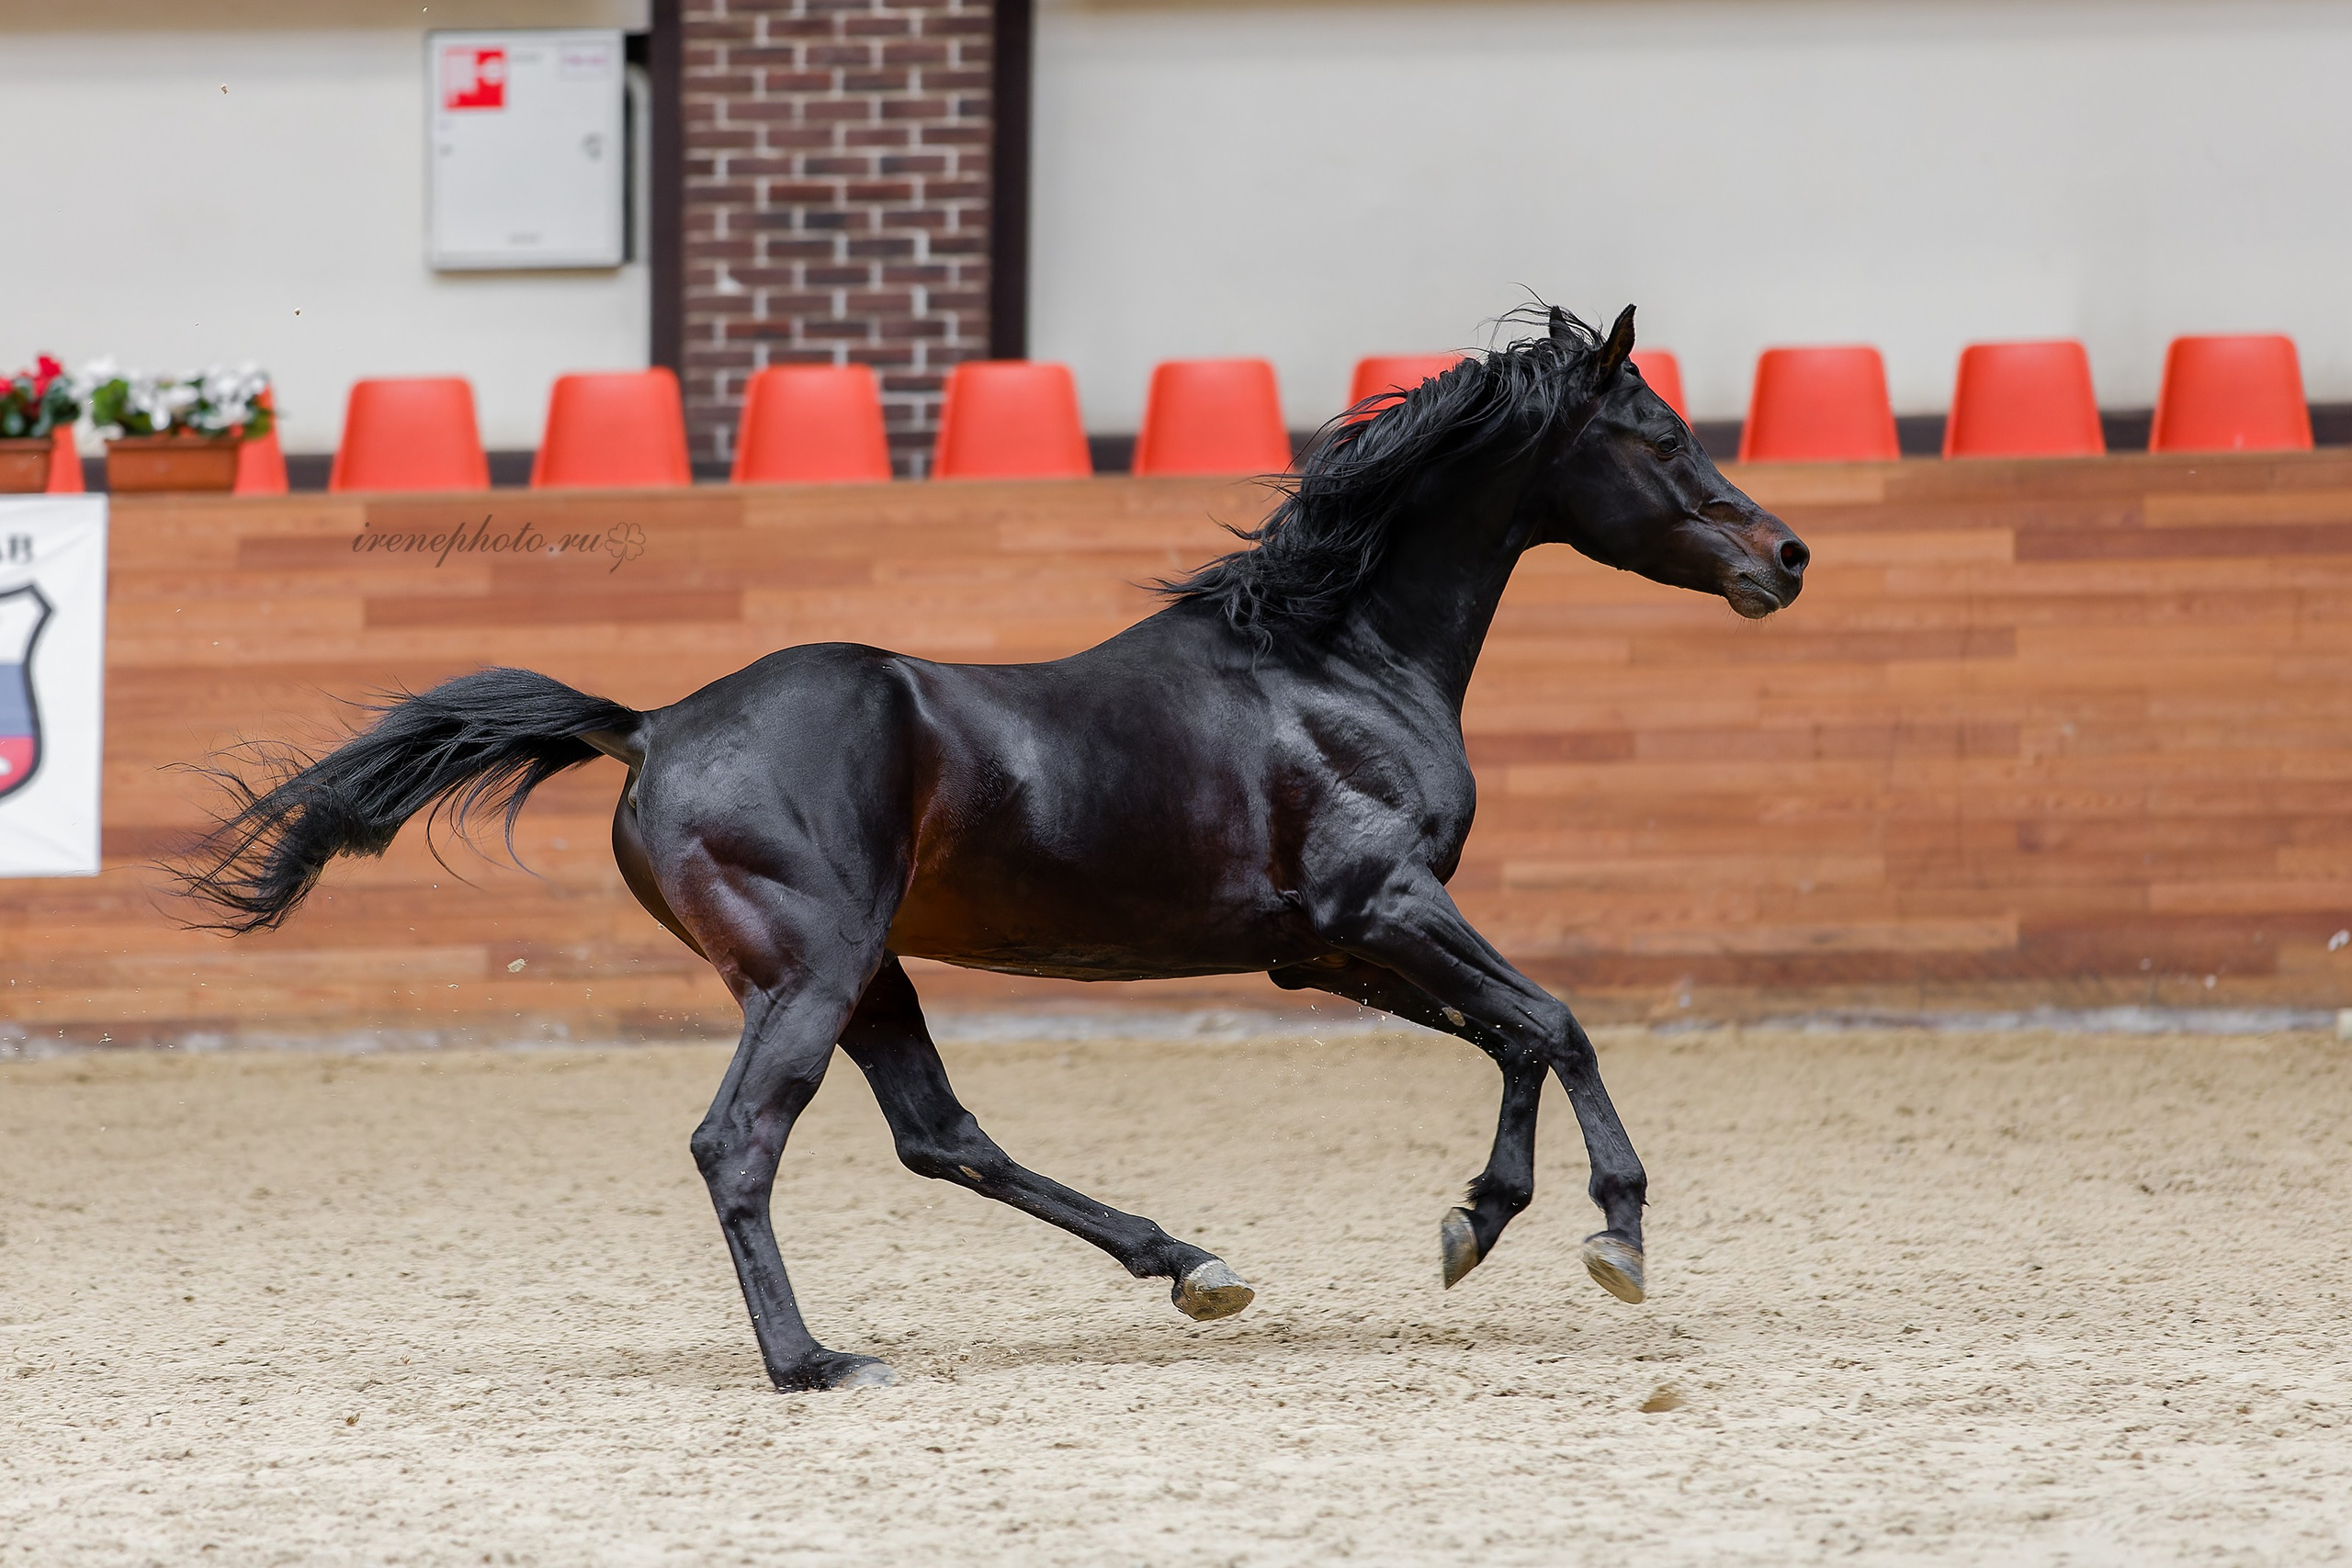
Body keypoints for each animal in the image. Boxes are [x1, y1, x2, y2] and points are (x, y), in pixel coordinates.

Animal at [177, 305, 1808, 1392]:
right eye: (1661, 436)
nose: (1785, 556)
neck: (1334, 656)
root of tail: (651, 725)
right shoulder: (1384, 905)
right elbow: (1558, 1018)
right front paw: (1614, 1237)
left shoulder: (1327, 946)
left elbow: (1512, 1034)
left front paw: (1477, 1220)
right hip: (815, 969)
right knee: (740, 1141)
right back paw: (815, 1361)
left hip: (867, 972)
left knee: (940, 1132)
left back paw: (1191, 1265)